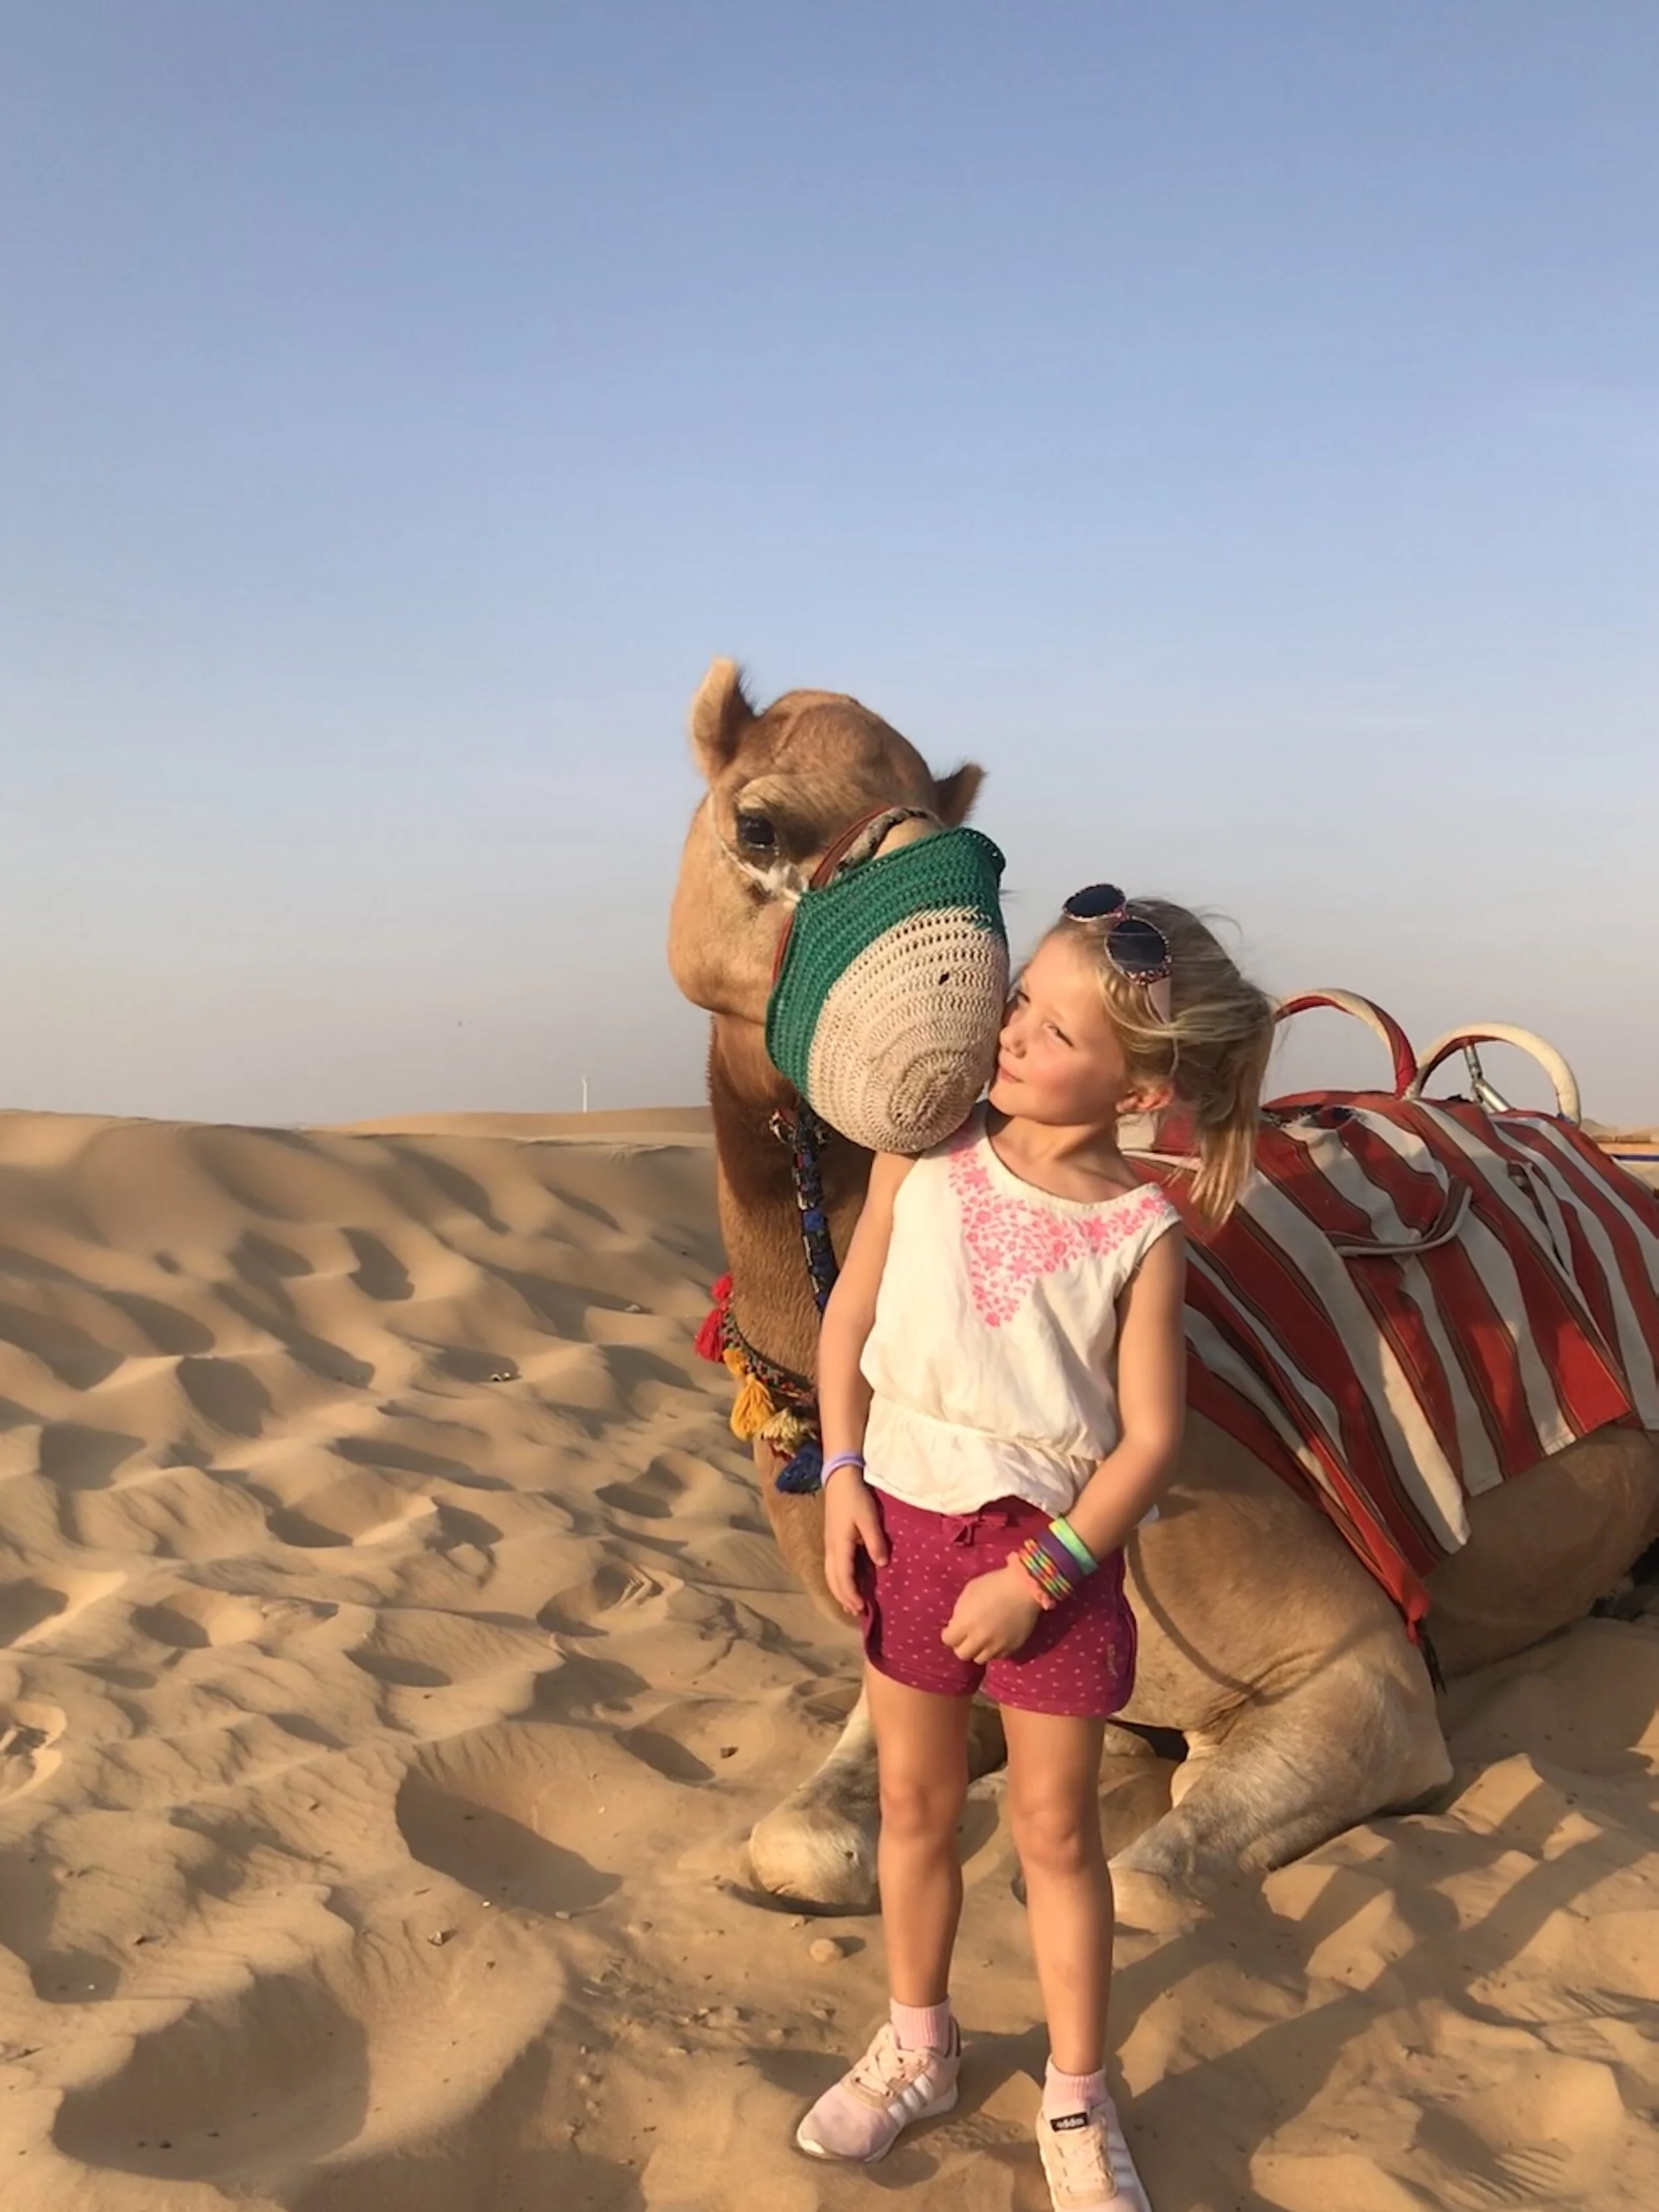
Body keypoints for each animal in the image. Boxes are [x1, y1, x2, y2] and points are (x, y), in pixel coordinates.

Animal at [667, 659, 1659, 1904]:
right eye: (757, 823)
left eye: (979, 855)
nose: (949, 1057)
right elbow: (800, 1839)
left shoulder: (1360, 1669)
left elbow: (1150, 1868)